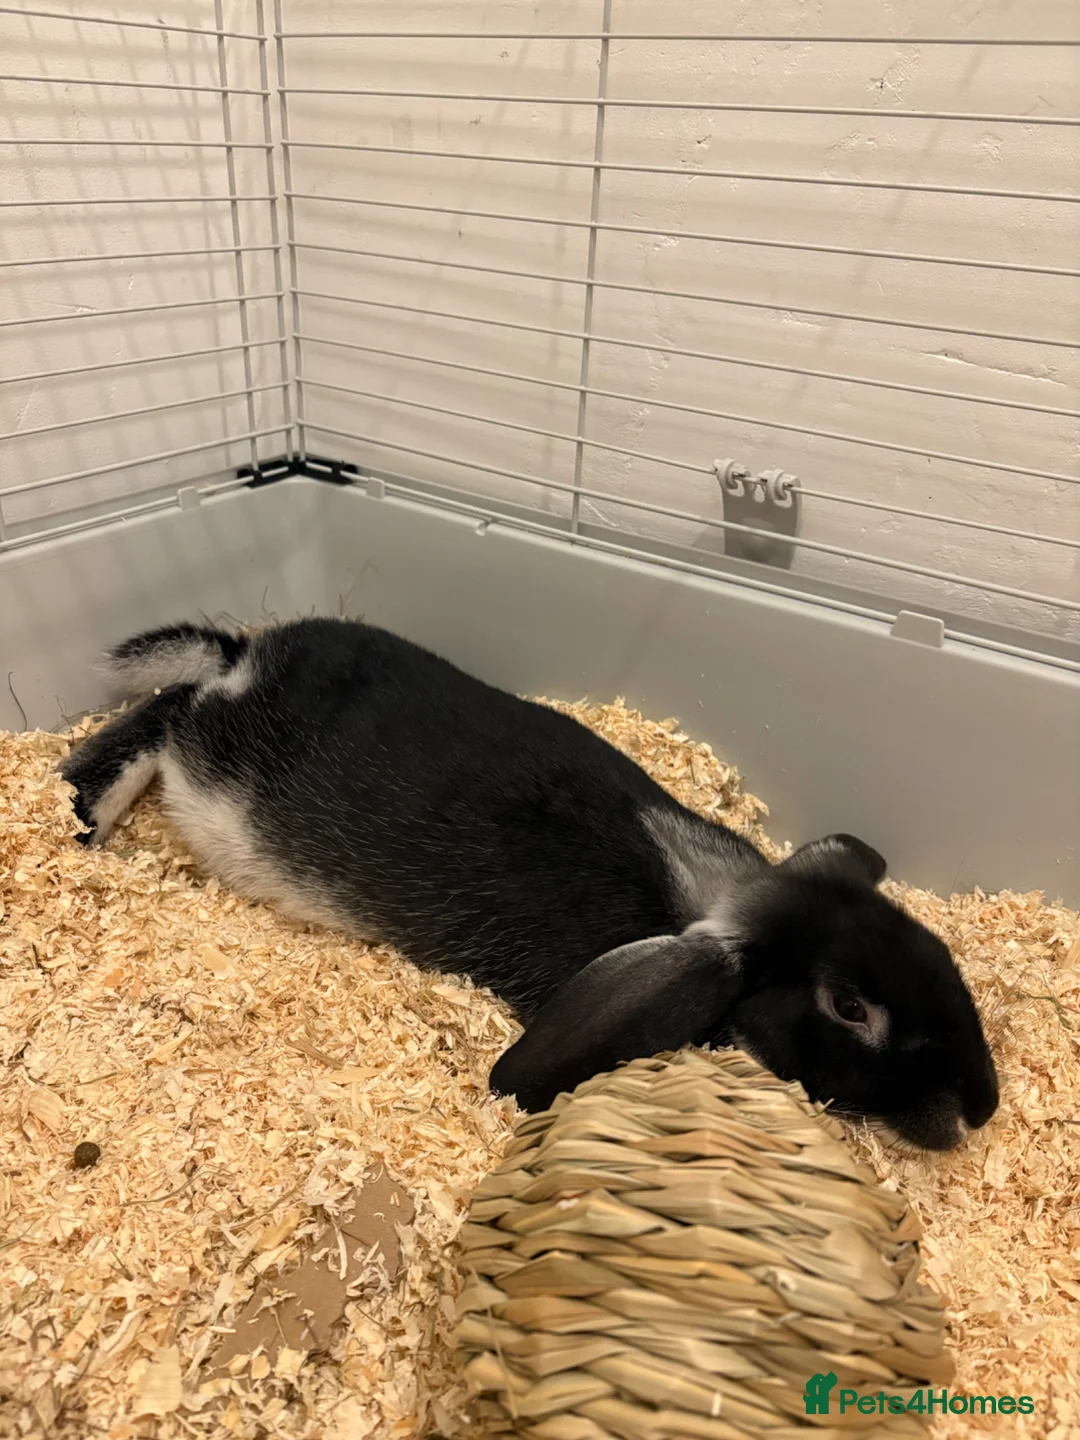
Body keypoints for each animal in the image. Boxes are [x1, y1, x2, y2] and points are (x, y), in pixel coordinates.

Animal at [60, 615, 999, 1150]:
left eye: (935, 950)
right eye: (850, 1008)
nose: (983, 1107)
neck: (709, 898)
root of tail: (245, 659)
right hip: (209, 776)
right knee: (164, 715)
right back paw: (81, 812)